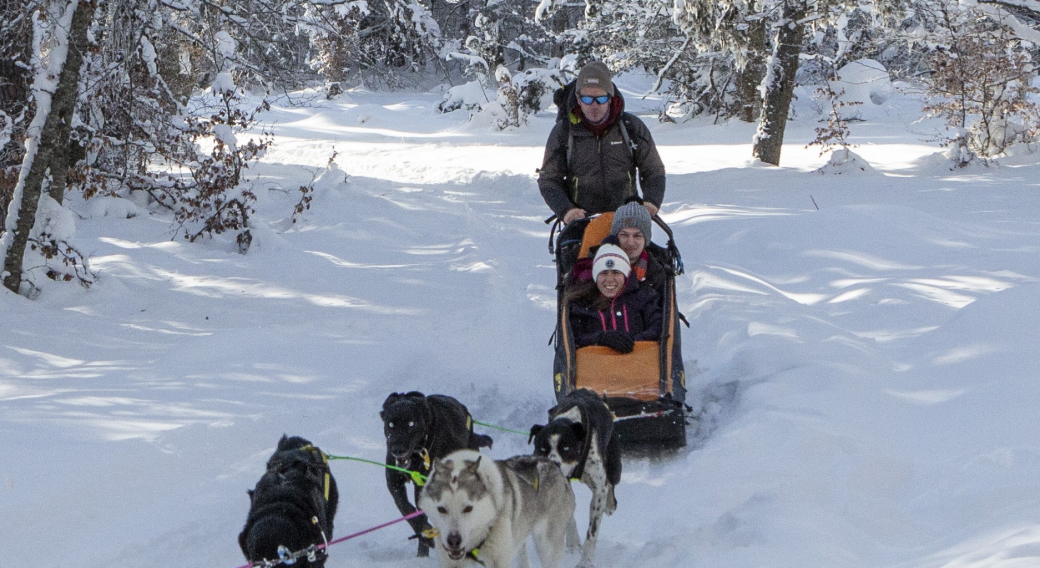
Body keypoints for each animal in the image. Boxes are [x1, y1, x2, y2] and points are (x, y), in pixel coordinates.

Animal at [382, 389, 495, 553]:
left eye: (411, 423)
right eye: (390, 424)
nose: (397, 449)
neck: (418, 454)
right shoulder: (394, 481)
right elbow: (405, 508)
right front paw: (423, 531)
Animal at [532, 386, 619, 565]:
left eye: (565, 447)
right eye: (542, 448)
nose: (553, 465)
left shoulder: (598, 488)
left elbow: (592, 531)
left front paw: (585, 561)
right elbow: (568, 511)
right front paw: (572, 542)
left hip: (614, 470)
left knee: (611, 491)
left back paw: (609, 503)